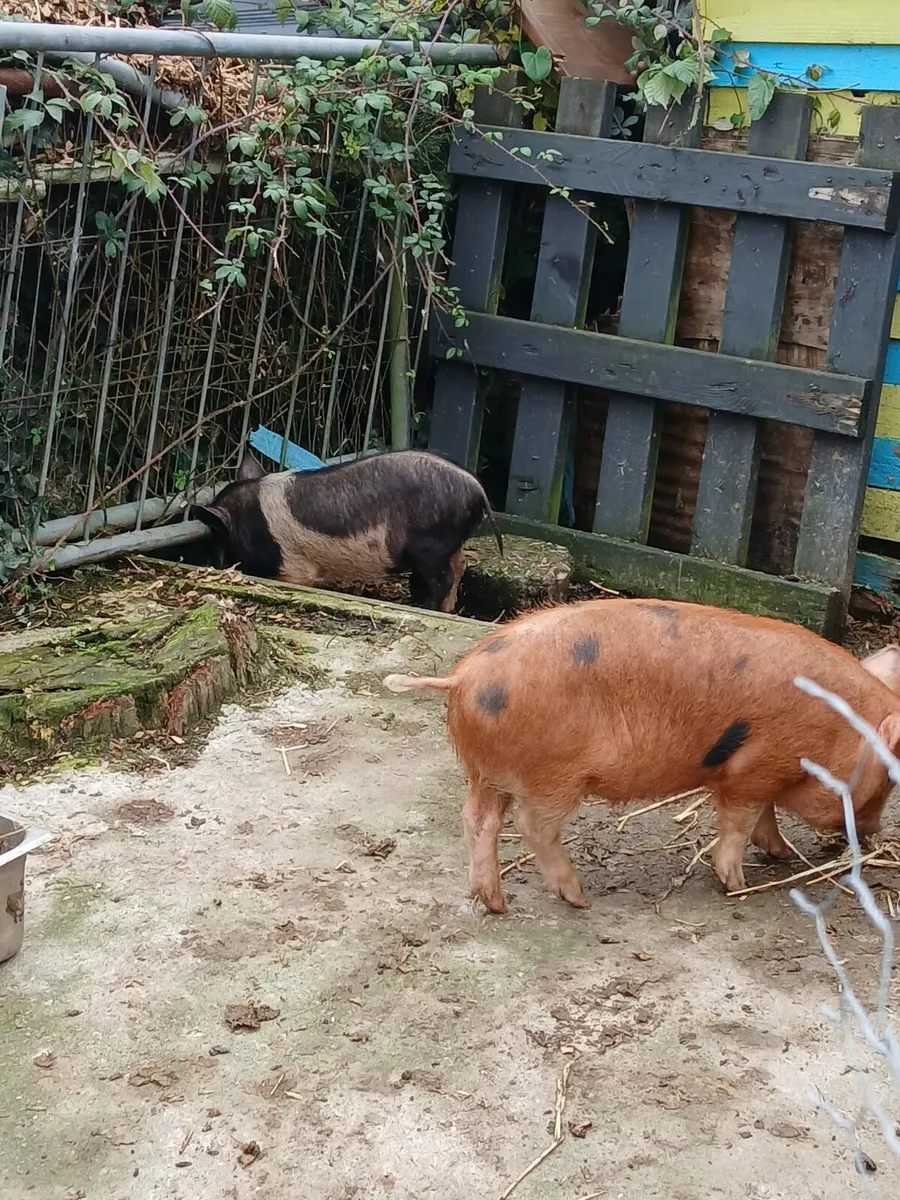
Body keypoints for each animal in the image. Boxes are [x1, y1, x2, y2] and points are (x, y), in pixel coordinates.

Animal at [190, 448, 502, 613]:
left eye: (217, 534)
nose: (215, 563)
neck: (251, 520)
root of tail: (477, 488)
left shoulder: (294, 568)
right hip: (448, 543)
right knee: (461, 565)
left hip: (430, 544)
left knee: (443, 578)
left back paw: (426, 607)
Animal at [384, 598, 900, 914]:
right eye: (887, 779)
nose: (874, 830)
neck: (832, 730)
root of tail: (461, 679)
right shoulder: (750, 770)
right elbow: (738, 824)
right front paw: (738, 887)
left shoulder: (762, 774)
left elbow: (764, 818)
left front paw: (781, 855)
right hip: (552, 775)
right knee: (533, 826)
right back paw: (579, 899)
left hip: (486, 774)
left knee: (478, 821)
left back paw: (494, 903)